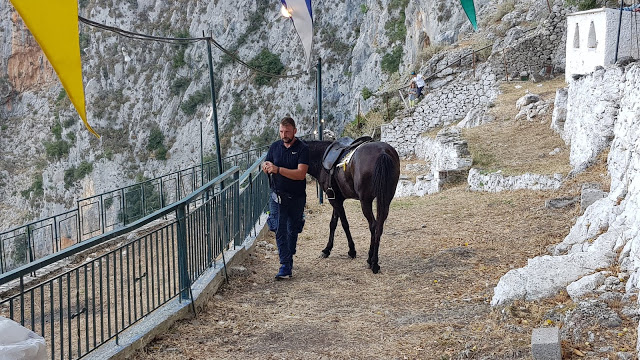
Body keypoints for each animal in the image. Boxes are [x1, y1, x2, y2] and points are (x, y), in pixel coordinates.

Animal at [306, 140, 400, 272]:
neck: (321, 159)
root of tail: (383, 151)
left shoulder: (334, 200)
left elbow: (344, 224)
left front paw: (351, 250)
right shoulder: (337, 199)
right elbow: (333, 223)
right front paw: (327, 249)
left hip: (365, 201)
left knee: (373, 225)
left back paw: (372, 261)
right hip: (386, 199)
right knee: (379, 226)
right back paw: (373, 261)